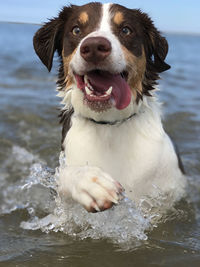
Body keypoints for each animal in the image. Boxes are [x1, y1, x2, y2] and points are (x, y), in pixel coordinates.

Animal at [33, 2, 187, 214]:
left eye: (126, 30)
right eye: (76, 30)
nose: (94, 47)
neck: (109, 125)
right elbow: (63, 174)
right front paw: (89, 182)